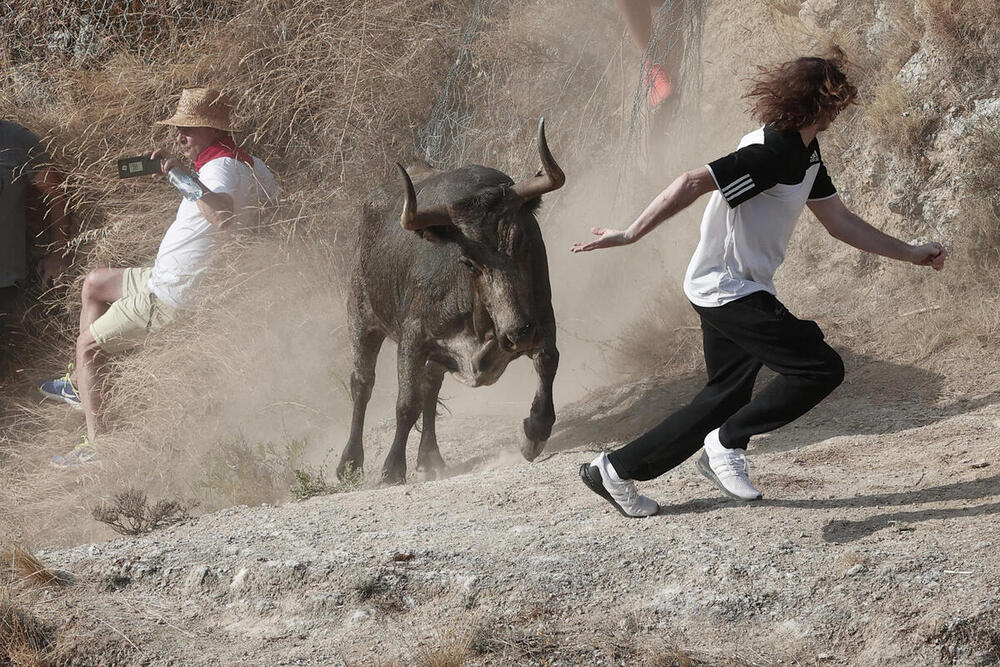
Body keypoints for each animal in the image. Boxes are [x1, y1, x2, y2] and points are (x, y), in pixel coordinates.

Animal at [340, 121, 568, 486]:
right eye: (469, 262)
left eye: (522, 242)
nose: (518, 333)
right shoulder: (412, 338)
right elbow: (406, 403)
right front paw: (392, 468)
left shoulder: (543, 316)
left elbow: (548, 360)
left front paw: (534, 431)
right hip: (362, 320)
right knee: (362, 383)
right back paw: (350, 461)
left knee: (430, 387)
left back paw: (430, 458)